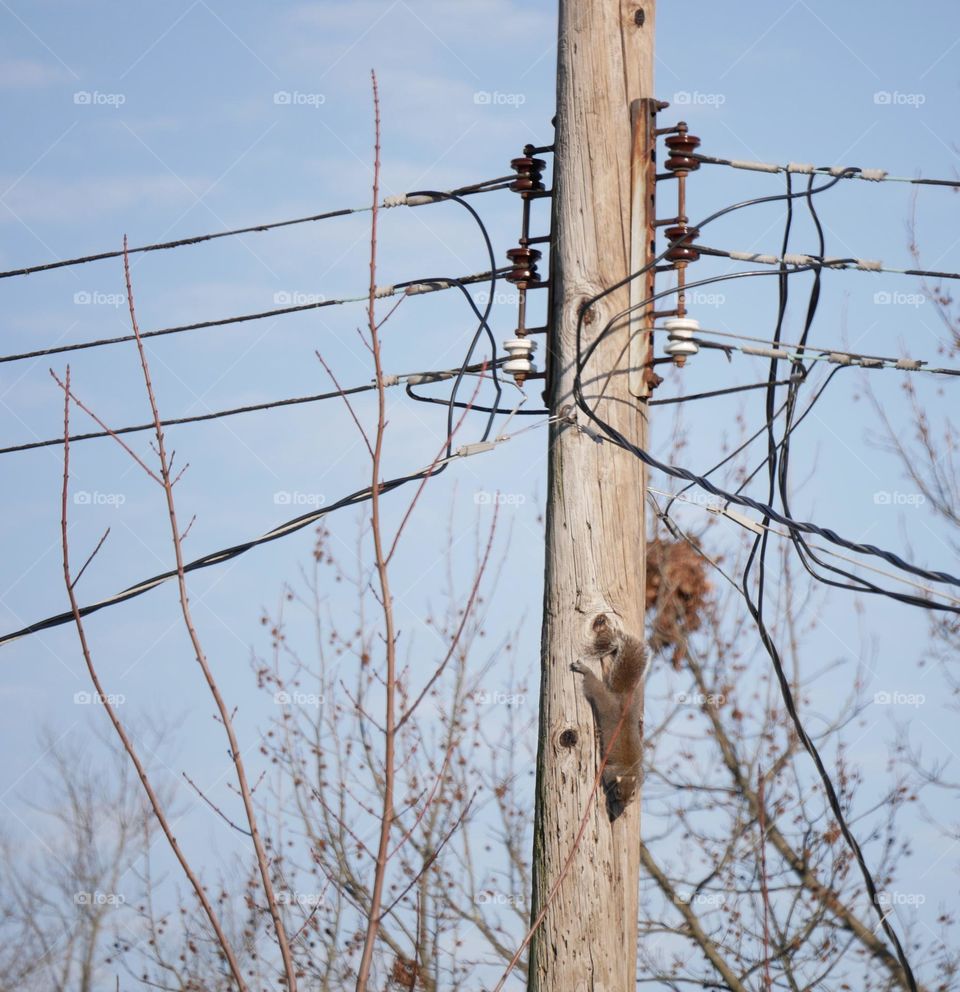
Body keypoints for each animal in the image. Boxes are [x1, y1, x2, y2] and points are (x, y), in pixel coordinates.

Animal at [571, 613, 646, 808]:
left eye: (633, 793)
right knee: (593, 684)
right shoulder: (609, 772)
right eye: (618, 791)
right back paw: (585, 670)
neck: (627, 772)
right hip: (602, 698)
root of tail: (621, 699)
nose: (625, 804)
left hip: (635, 701)